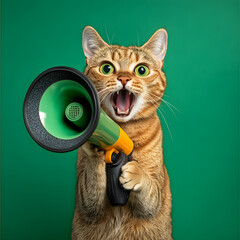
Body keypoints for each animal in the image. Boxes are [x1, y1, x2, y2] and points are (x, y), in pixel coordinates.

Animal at [71, 26, 172, 240]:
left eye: (141, 70)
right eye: (106, 68)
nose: (124, 78)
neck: (125, 131)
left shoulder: (155, 198)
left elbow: (150, 193)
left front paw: (135, 172)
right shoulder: (85, 201)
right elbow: (91, 187)